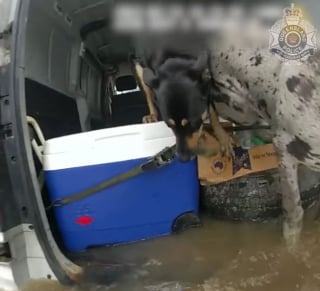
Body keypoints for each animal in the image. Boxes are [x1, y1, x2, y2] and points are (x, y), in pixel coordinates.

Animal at [208, 31, 320, 249]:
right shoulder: (284, 149)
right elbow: (293, 212)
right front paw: (291, 248)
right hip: (237, 107)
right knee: (209, 102)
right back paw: (222, 136)